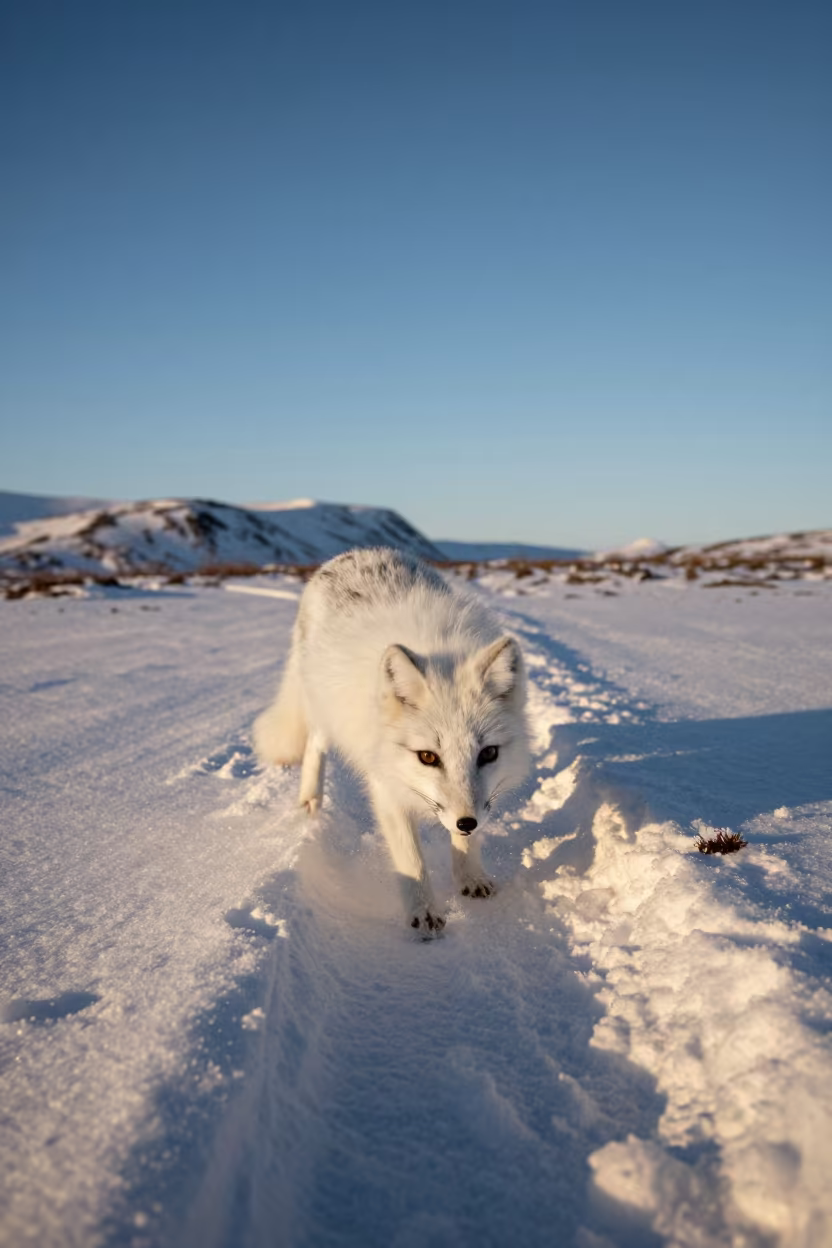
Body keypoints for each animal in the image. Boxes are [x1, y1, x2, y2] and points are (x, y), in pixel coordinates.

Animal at [253, 548, 531, 935]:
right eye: (428, 757)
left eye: (488, 753)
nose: (468, 822)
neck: (440, 649)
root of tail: (355, 552)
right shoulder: (386, 782)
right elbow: (411, 859)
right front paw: (424, 913)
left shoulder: (475, 804)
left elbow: (463, 843)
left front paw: (470, 877)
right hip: (321, 702)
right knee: (315, 744)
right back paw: (310, 799)